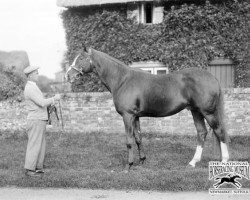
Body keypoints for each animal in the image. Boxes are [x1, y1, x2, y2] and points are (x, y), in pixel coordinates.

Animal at [65, 47, 229, 171]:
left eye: (81, 59)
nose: (68, 76)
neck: (122, 80)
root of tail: (212, 77)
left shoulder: (127, 116)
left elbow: (129, 141)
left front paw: (129, 165)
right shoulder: (136, 116)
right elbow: (138, 138)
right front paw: (142, 161)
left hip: (208, 112)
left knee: (219, 132)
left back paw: (224, 162)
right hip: (196, 111)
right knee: (202, 133)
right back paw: (192, 162)